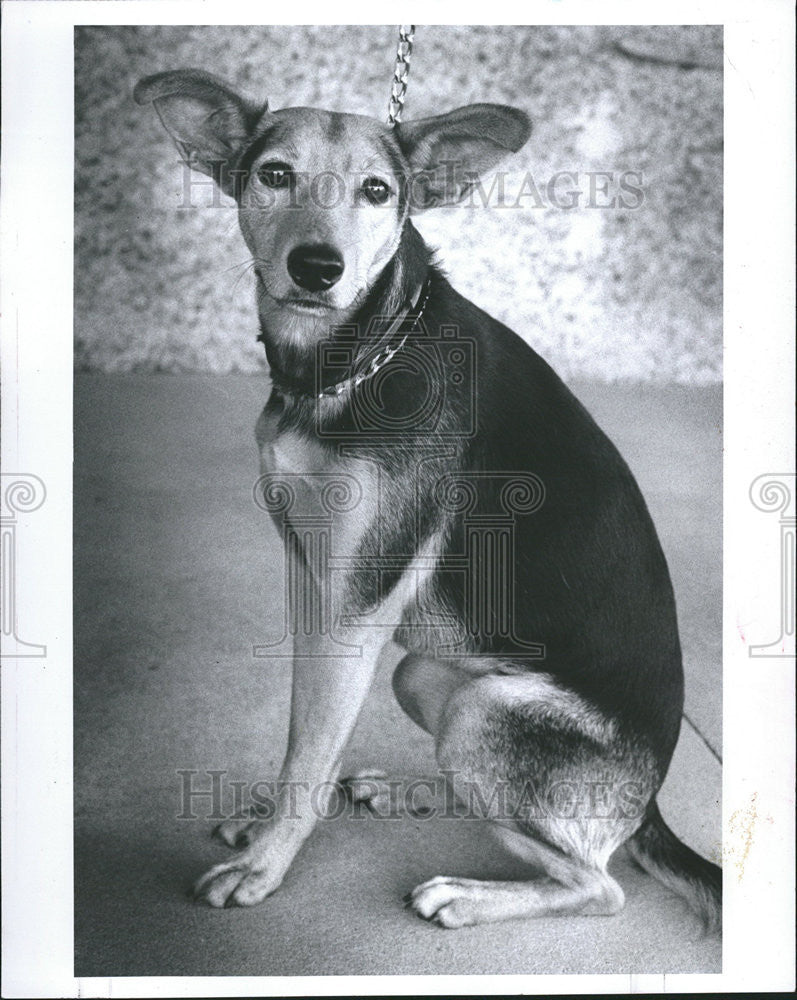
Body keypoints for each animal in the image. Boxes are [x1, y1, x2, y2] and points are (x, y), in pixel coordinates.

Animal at [134, 68, 720, 928]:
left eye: (377, 192)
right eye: (275, 174)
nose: (317, 268)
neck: (359, 356)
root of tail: (647, 806)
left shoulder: (355, 605)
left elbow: (312, 753)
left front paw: (263, 865)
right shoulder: (311, 581)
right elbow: (303, 735)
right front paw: (263, 821)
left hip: (490, 712)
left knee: (598, 883)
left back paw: (467, 896)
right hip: (428, 677)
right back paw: (404, 792)